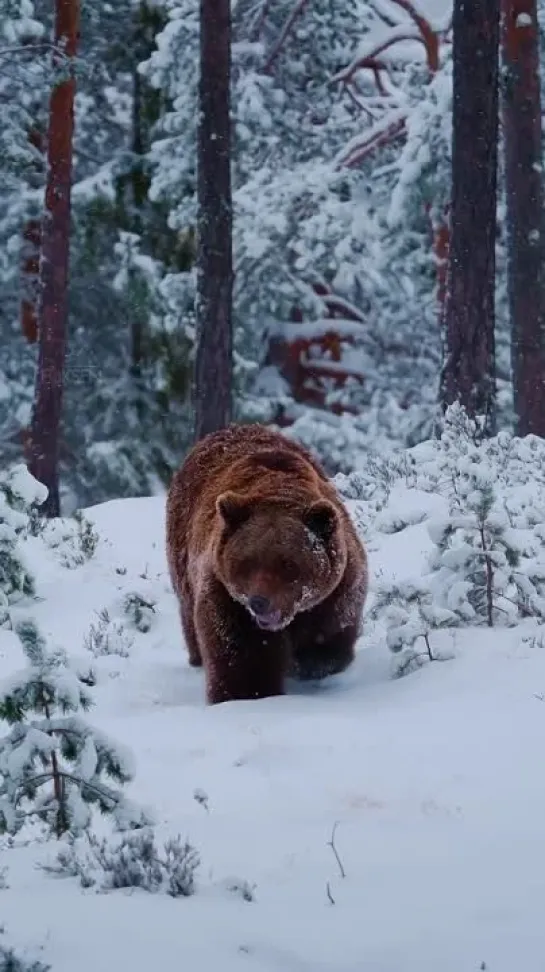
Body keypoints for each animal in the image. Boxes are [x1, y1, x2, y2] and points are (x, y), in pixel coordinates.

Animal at [166, 422, 368, 704]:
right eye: (246, 563)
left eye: (288, 564)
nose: (259, 602)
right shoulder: (227, 598)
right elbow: (243, 658)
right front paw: (246, 693)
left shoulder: (334, 594)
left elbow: (328, 639)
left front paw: (311, 664)